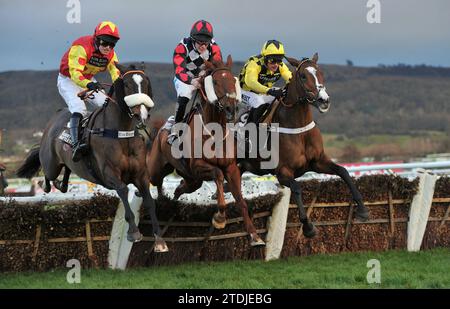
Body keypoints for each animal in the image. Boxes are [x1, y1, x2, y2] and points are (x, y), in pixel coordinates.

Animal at [16, 63, 169, 251]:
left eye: (146, 83)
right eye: (126, 84)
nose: (141, 113)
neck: (120, 133)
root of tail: (55, 117)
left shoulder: (140, 175)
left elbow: (149, 200)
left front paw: (159, 240)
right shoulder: (108, 173)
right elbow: (123, 190)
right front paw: (133, 232)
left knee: (66, 173)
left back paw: (61, 184)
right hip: (51, 164)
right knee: (48, 174)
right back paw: (44, 185)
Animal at [148, 55, 268, 245]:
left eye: (233, 80)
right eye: (216, 82)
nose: (231, 108)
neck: (214, 132)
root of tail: (160, 129)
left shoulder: (231, 168)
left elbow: (241, 201)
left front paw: (254, 236)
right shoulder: (198, 166)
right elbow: (218, 176)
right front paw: (219, 218)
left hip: (192, 180)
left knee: (180, 189)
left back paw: (171, 203)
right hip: (157, 169)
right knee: (156, 183)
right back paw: (161, 205)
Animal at [237, 52, 368, 236]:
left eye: (321, 73)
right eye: (303, 76)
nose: (324, 100)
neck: (298, 128)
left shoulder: (317, 162)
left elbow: (343, 171)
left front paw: (362, 210)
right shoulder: (283, 172)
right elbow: (297, 188)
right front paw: (308, 226)